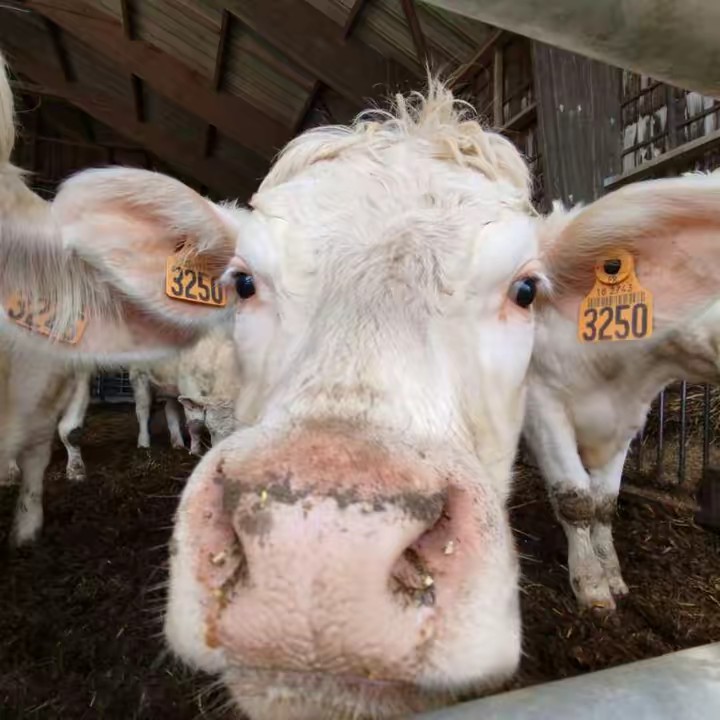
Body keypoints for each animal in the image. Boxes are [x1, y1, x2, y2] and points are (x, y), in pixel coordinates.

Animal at [3, 46, 720, 719]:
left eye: (525, 291)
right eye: (242, 282)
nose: (322, 554)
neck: (617, 377)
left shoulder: (629, 417)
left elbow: (601, 500)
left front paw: (607, 583)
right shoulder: (547, 408)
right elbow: (575, 499)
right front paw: (594, 583)